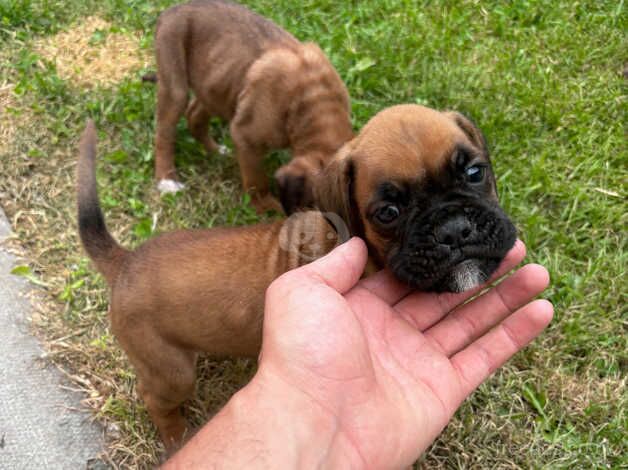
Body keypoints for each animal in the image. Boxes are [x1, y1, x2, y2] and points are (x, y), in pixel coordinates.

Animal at [76, 105, 516, 452]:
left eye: (475, 172)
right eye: (388, 213)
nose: (454, 229)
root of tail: (125, 261)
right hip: (171, 371)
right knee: (154, 396)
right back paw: (175, 435)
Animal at [148, 0, 354, 213]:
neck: (312, 100)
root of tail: (172, 10)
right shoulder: (246, 137)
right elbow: (256, 180)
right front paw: (266, 206)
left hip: (215, 85)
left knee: (195, 115)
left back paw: (216, 151)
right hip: (175, 85)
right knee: (164, 133)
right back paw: (166, 179)